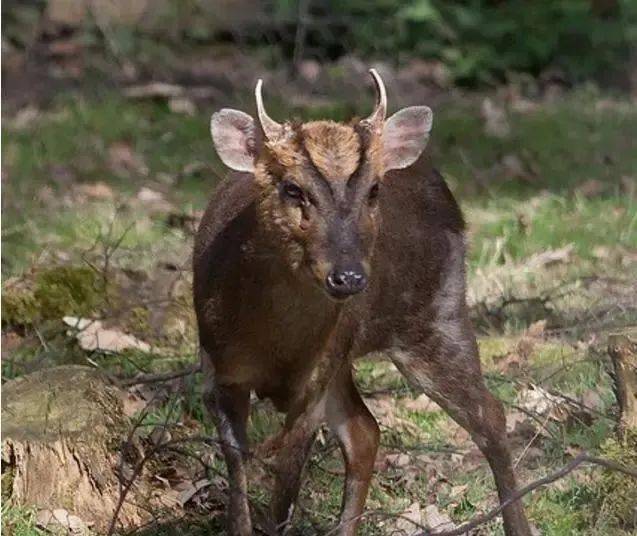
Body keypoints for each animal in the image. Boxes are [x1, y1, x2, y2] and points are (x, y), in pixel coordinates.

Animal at [194, 71, 532, 536]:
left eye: (373, 190)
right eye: (292, 188)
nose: (349, 276)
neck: (273, 344)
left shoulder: (312, 387)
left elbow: (283, 495)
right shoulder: (220, 371)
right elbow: (238, 485)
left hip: (437, 314)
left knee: (489, 414)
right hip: (349, 351)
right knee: (365, 430)